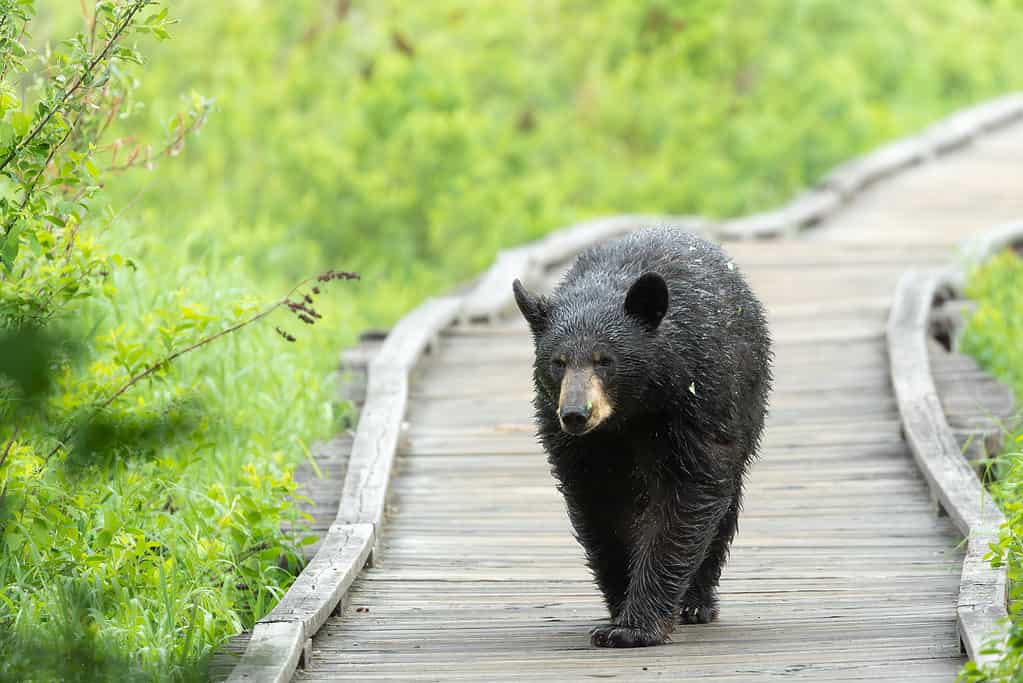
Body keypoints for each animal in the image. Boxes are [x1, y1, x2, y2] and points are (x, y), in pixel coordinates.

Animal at [511, 226, 772, 648]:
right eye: (558, 362)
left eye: (605, 360)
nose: (576, 413)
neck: (630, 415)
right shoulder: (580, 447)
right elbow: (601, 508)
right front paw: (619, 608)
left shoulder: (692, 407)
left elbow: (685, 499)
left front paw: (635, 626)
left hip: (748, 403)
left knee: (725, 502)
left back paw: (697, 602)